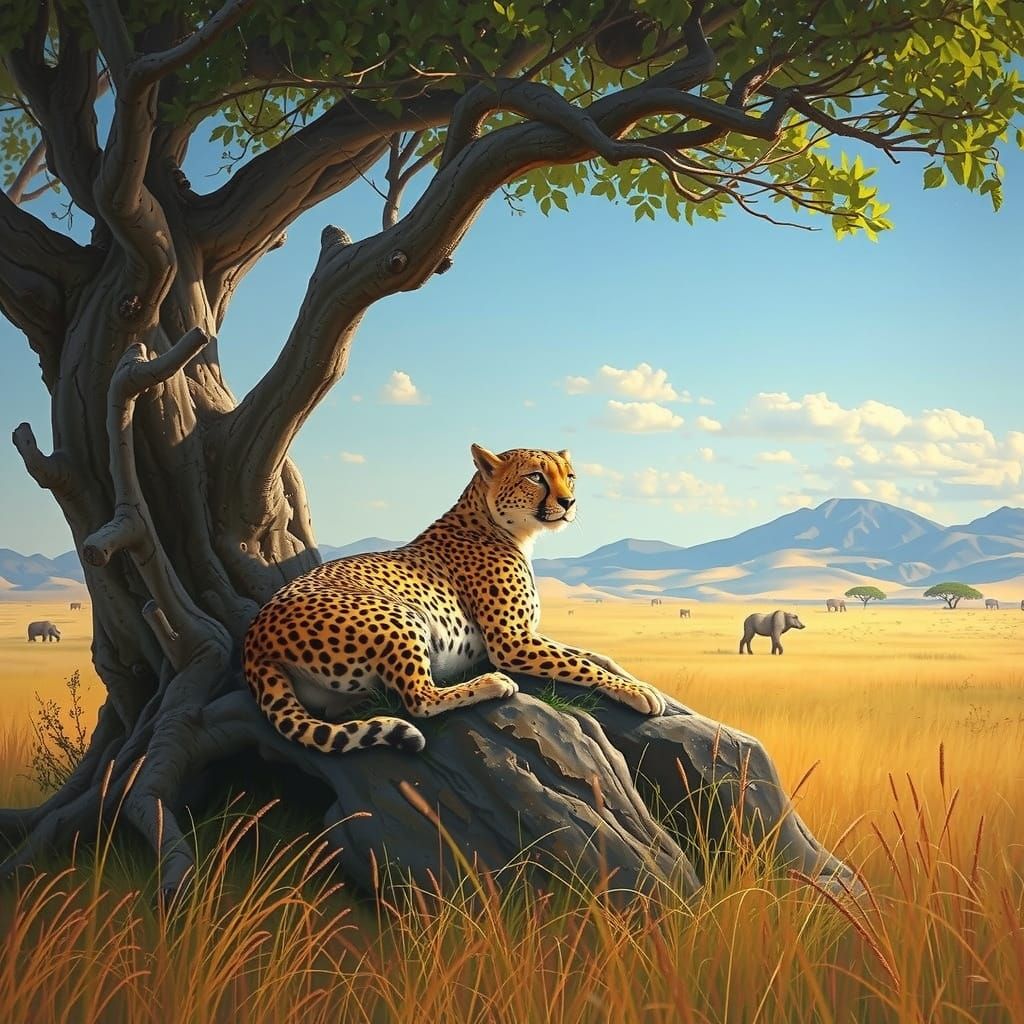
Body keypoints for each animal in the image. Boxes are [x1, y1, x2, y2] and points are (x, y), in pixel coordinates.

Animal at [243, 444, 667, 755]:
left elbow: (590, 655)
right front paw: (637, 693)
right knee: (419, 699)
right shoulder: (511, 643)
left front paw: (637, 681)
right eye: (536, 476)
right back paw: (491, 684)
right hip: (400, 615)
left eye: (570, 476)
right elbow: (580, 664)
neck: (502, 526)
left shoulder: (527, 635)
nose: (568, 502)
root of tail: (254, 638)